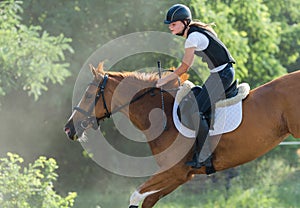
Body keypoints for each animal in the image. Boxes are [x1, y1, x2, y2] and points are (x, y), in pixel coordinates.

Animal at [64, 62, 298, 207]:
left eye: (88, 96)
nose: (69, 128)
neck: (163, 115)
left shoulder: (173, 171)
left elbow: (136, 195)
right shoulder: (180, 176)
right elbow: (148, 200)